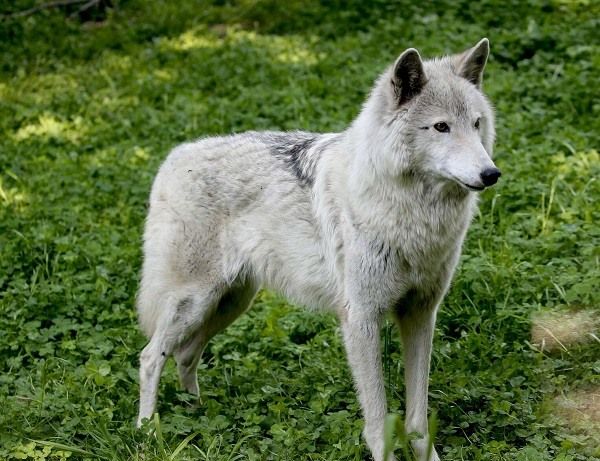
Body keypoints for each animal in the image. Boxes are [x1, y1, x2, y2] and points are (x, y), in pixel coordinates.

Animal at [137, 40, 502, 460]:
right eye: (441, 126)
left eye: (476, 123)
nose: (491, 174)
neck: (413, 216)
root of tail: (172, 159)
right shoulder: (360, 319)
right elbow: (378, 420)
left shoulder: (421, 314)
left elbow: (417, 419)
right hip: (197, 302)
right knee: (150, 357)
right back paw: (148, 434)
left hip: (231, 302)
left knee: (185, 355)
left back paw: (198, 413)